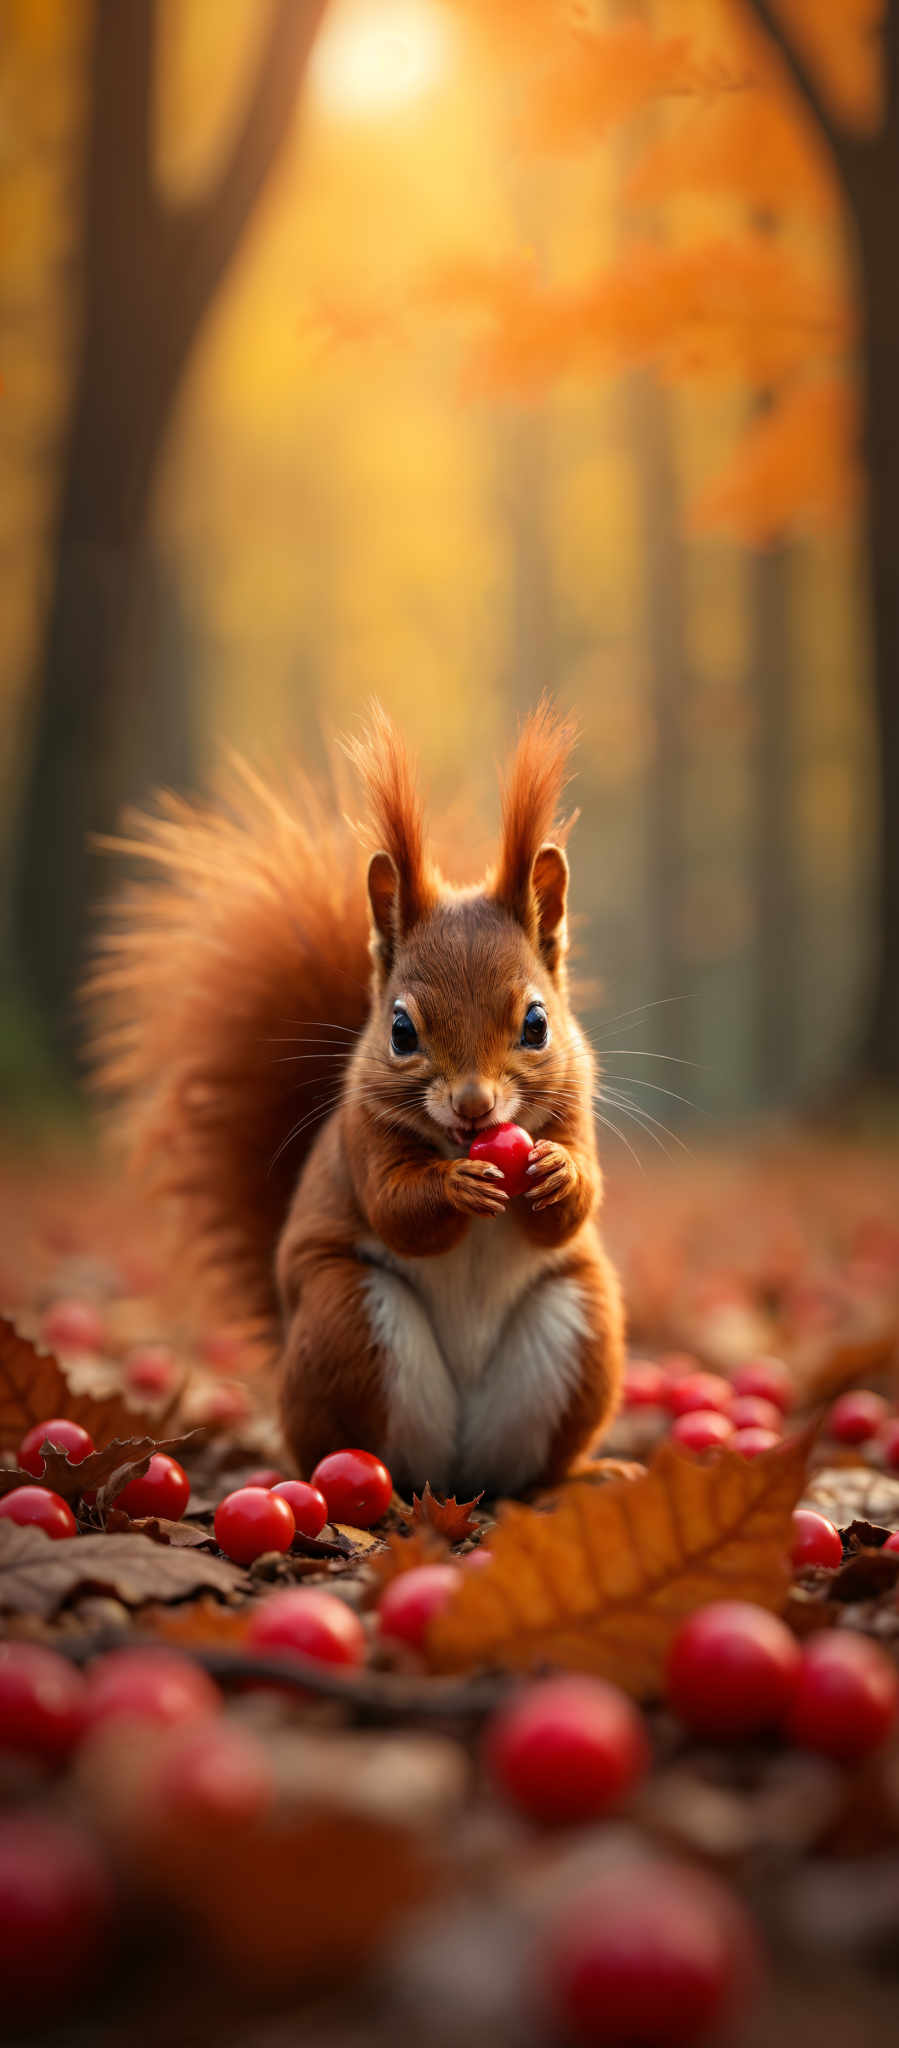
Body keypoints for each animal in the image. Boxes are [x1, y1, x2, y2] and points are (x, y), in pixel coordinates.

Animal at [93, 700, 626, 1490]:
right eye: (401, 1030)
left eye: (537, 1023)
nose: (475, 1106)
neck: (457, 1141)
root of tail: (457, 1479)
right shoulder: (361, 1137)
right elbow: (397, 1209)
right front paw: (456, 1186)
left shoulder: (572, 1112)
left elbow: (572, 1207)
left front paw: (557, 1174)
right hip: (347, 1321)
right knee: (363, 1445)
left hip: (577, 1326)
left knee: (532, 1467)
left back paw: (580, 1476)